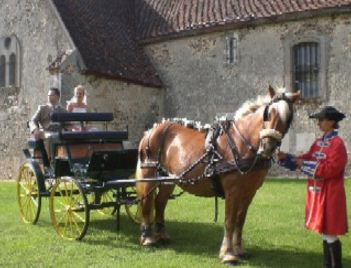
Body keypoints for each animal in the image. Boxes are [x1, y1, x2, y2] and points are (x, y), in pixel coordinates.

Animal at [135, 85, 300, 264]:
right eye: (268, 113)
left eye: (288, 118)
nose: (268, 146)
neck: (242, 143)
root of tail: (151, 130)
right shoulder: (232, 190)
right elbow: (229, 220)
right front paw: (228, 254)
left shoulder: (249, 192)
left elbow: (240, 220)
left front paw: (239, 250)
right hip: (149, 174)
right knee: (147, 202)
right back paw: (148, 239)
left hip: (168, 179)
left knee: (160, 202)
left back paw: (162, 235)